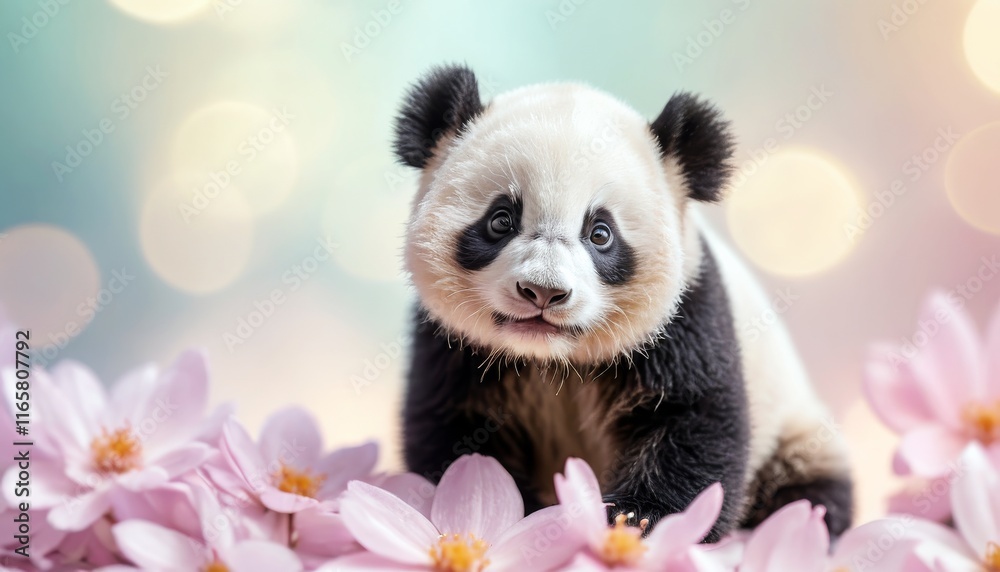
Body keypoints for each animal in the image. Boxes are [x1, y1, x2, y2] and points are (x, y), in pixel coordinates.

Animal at [396, 64, 853, 541]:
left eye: (600, 233)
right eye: (500, 220)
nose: (544, 292)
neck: (552, 358)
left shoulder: (687, 317)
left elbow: (695, 420)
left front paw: (637, 517)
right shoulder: (452, 347)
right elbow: (457, 432)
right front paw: (524, 510)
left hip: (797, 427)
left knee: (807, 483)